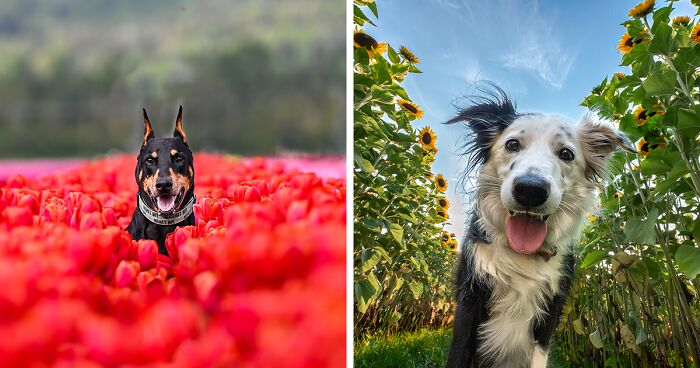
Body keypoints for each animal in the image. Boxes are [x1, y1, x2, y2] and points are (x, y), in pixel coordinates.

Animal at [446, 87, 636, 368]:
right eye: (512, 144)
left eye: (566, 153)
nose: (530, 190)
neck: (522, 255)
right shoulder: (469, 302)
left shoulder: (550, 311)